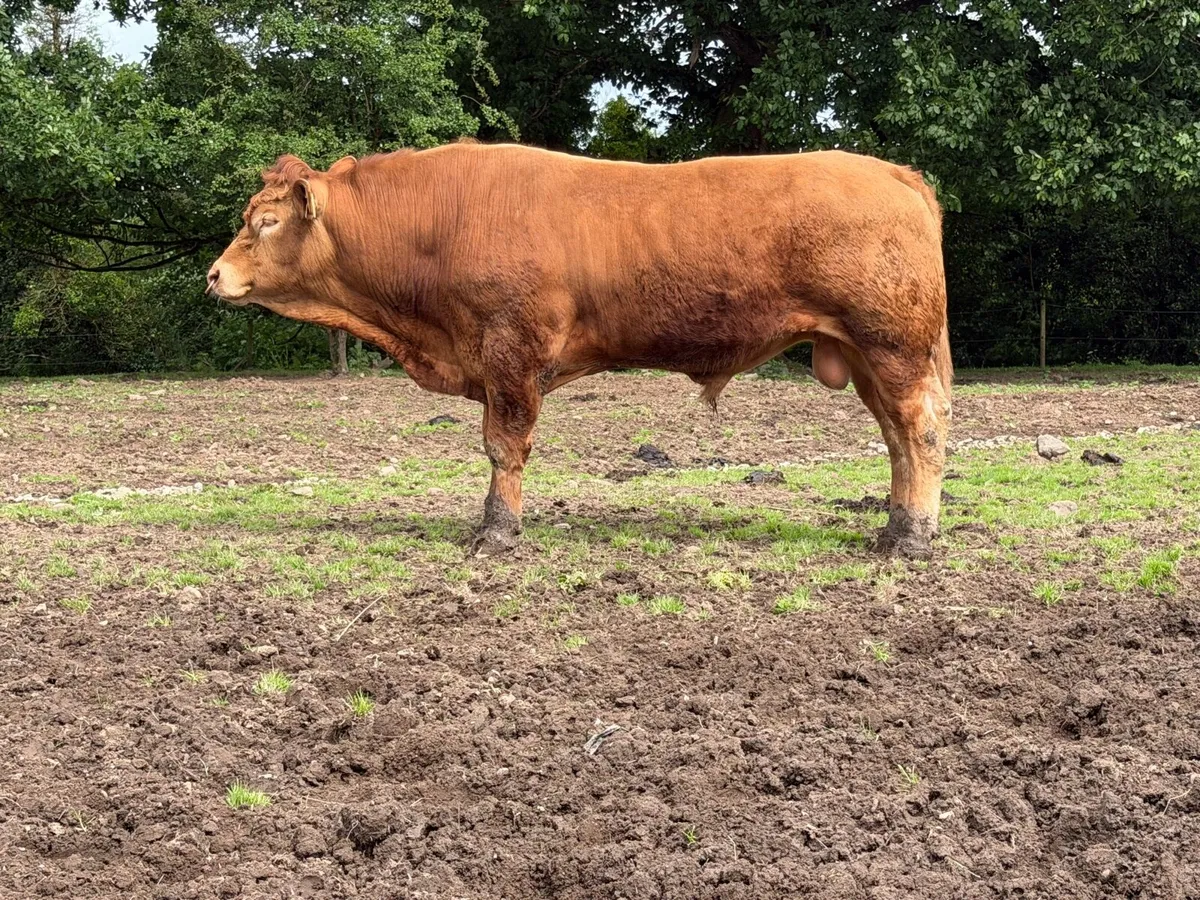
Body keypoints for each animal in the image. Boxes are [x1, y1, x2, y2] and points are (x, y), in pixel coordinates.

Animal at [207, 143, 952, 558]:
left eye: (264, 222)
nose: (214, 274)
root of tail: (891, 172)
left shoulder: (510, 349)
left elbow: (503, 445)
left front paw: (497, 531)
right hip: (864, 354)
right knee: (896, 438)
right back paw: (893, 527)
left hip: (892, 345)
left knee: (919, 430)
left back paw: (911, 538)